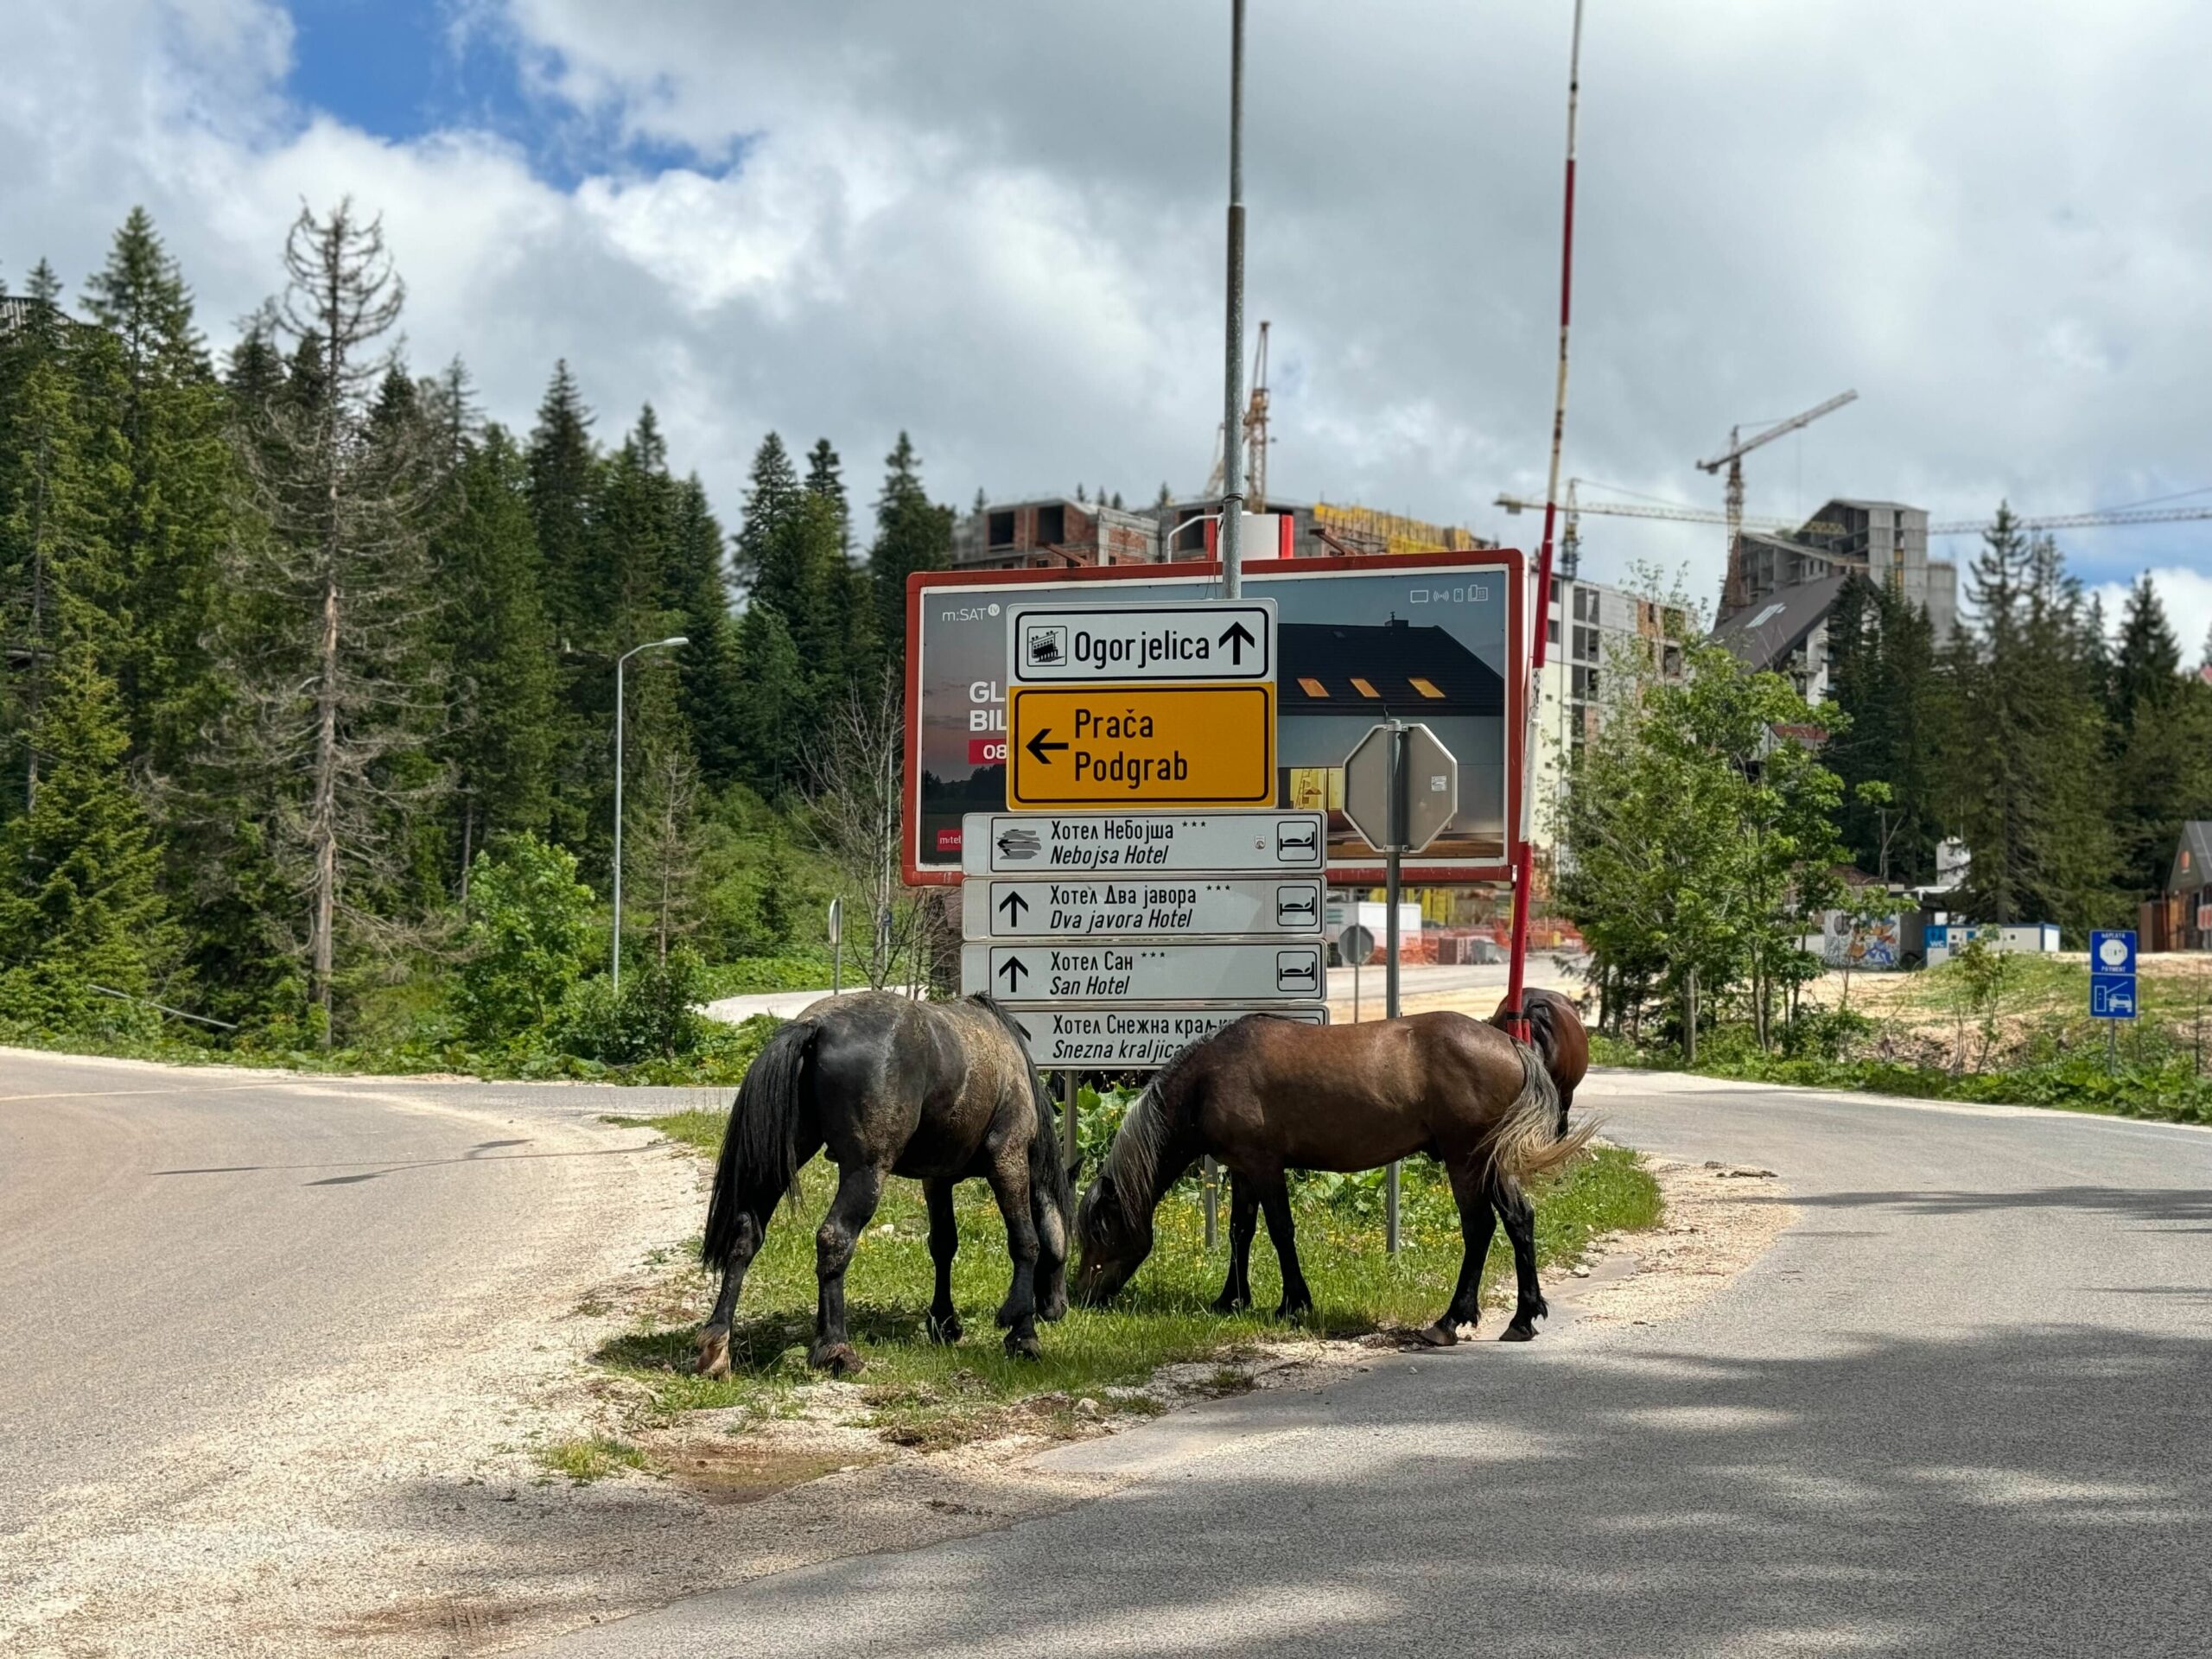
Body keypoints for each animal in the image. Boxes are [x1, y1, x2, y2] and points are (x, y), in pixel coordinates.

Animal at [690, 995, 1071, 1380]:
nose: (1058, 1309)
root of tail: (816, 1025)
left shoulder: (937, 1180)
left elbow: (943, 1245)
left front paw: (944, 1322)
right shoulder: (1008, 1157)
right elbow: (1026, 1241)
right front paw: (1022, 1333)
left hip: (781, 1161)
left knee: (745, 1235)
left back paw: (718, 1345)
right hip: (867, 1171)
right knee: (834, 1238)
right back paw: (836, 1348)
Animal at [1071, 1013, 1592, 1353]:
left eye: (1099, 1234)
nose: (1081, 1296)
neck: (1209, 1078)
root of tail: (1510, 1044)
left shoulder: (1264, 1166)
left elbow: (1280, 1231)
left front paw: (1292, 1304)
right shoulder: (1241, 1170)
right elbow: (1241, 1232)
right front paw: (1230, 1299)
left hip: (1465, 1159)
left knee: (1479, 1227)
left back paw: (1449, 1320)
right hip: (1491, 1161)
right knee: (1519, 1220)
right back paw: (1522, 1318)